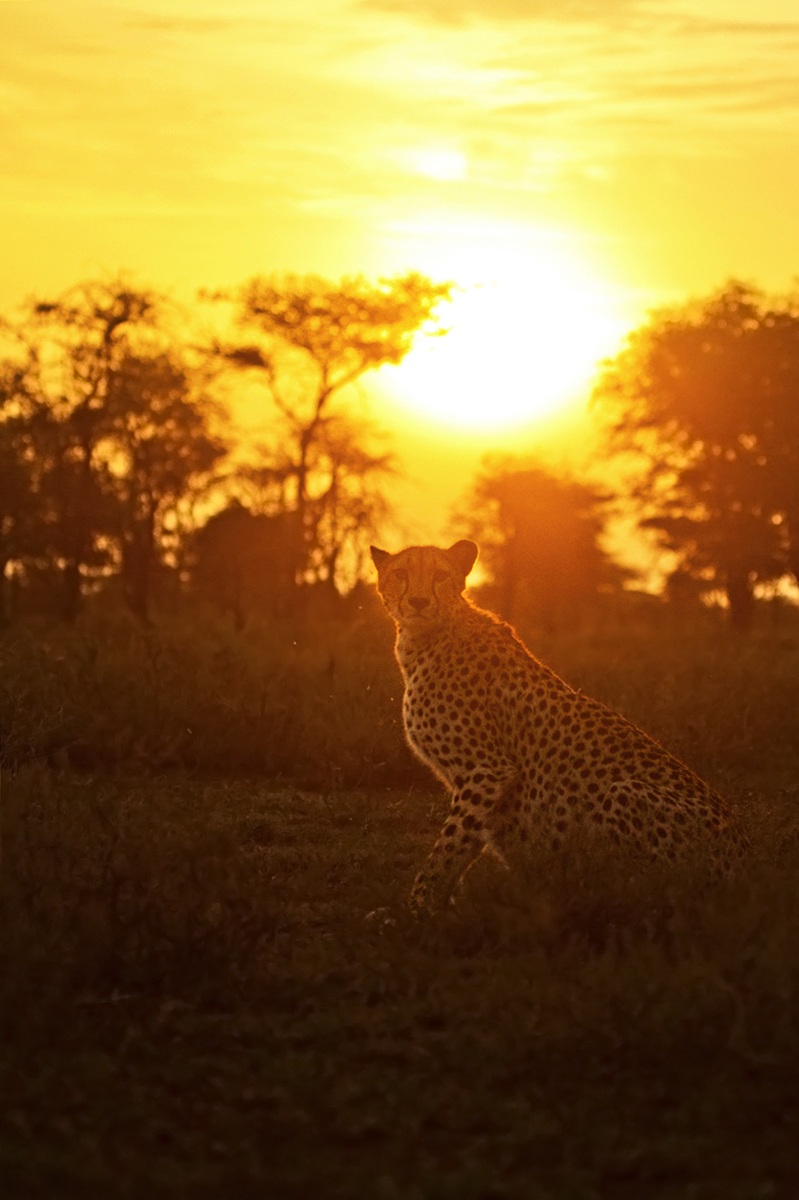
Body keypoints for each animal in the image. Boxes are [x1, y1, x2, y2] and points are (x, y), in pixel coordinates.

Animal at [370, 538, 748, 915]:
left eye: (440, 575)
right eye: (400, 574)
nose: (419, 602)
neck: (430, 634)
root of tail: (742, 852)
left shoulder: (487, 771)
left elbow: (448, 848)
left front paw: (416, 908)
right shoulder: (482, 786)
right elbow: (463, 845)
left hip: (624, 792)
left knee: (647, 891)